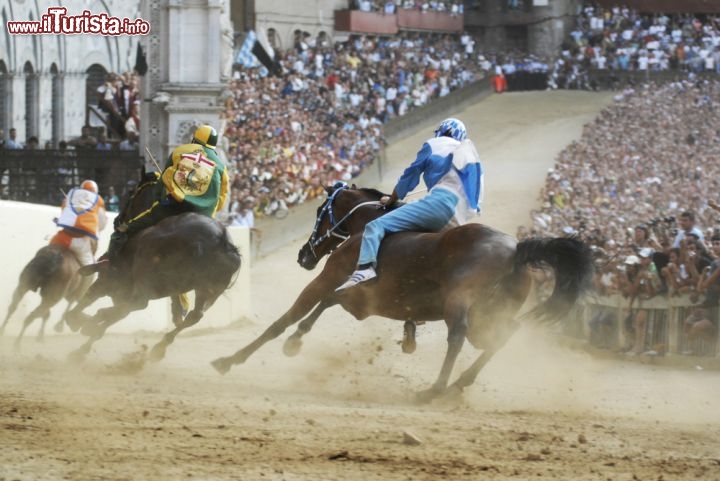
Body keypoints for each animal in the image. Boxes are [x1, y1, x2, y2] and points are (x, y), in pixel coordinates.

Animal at [64, 172, 242, 360]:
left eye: (131, 193)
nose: (118, 220)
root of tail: (222, 242)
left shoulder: (107, 282)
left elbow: (86, 303)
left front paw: (79, 323)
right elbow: (112, 319)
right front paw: (84, 344)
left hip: (148, 278)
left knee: (138, 303)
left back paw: (93, 319)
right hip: (202, 290)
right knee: (194, 315)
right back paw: (159, 347)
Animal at [208, 184, 592, 402]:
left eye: (320, 211)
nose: (304, 254)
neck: (368, 228)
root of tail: (516, 249)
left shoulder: (328, 279)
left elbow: (287, 318)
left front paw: (231, 359)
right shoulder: (363, 298)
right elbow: (325, 305)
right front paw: (296, 340)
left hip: (460, 306)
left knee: (457, 337)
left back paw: (434, 389)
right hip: (491, 317)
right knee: (502, 336)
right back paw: (459, 384)